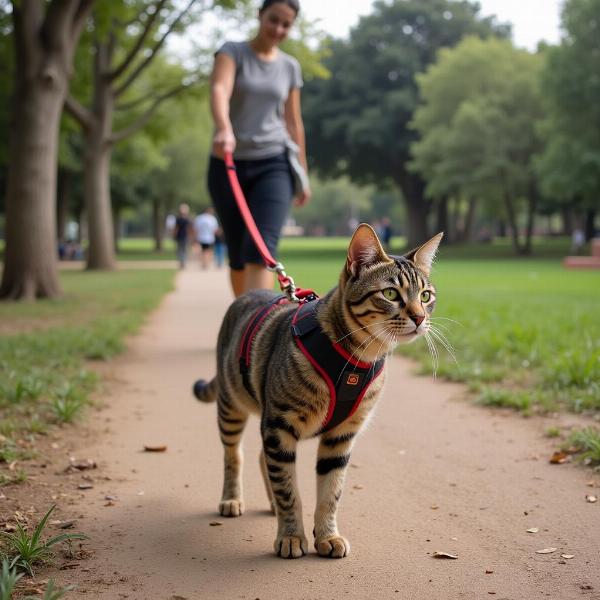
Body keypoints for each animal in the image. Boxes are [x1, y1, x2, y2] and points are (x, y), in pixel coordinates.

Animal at [195, 223, 442, 560]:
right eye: (391, 293)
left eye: (426, 295)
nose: (420, 317)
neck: (357, 360)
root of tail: (248, 294)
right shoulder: (280, 426)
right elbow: (289, 491)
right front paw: (290, 535)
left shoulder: (341, 436)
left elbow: (330, 492)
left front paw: (328, 535)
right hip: (232, 407)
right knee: (235, 455)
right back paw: (232, 498)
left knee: (261, 457)